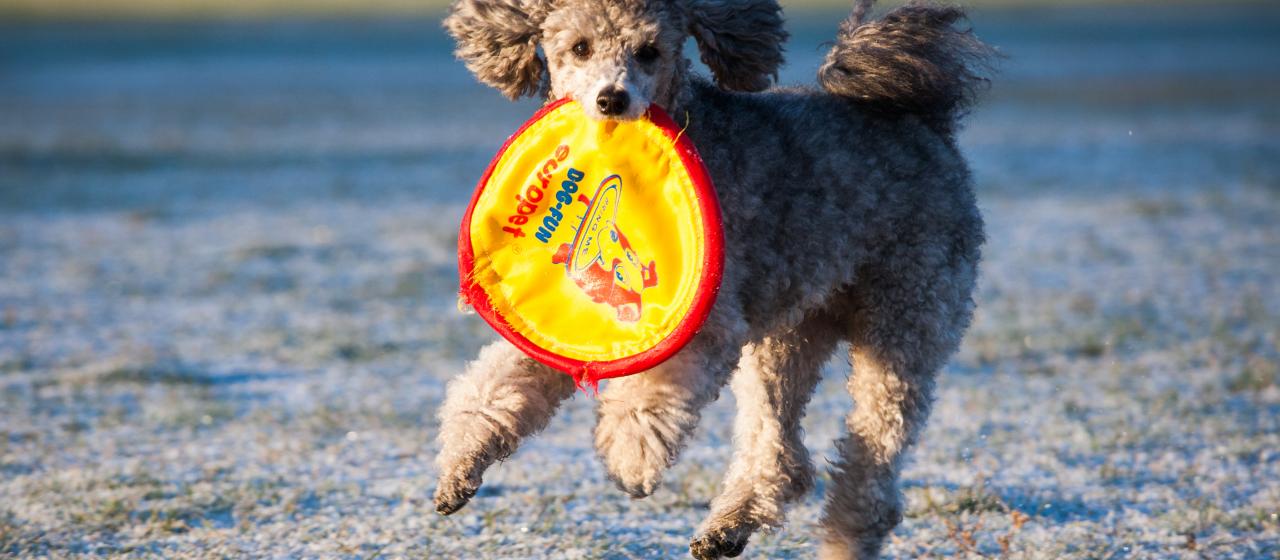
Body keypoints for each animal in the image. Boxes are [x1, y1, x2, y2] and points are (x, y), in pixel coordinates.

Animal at [430, 1, 988, 554]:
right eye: (580, 47)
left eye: (649, 51)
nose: (612, 99)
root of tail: (923, 120)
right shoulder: (557, 325)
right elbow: (497, 382)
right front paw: (459, 467)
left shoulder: (706, 324)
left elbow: (650, 395)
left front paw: (630, 457)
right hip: (790, 332)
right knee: (779, 448)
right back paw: (730, 525)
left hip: (906, 315)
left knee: (875, 445)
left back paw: (844, 532)